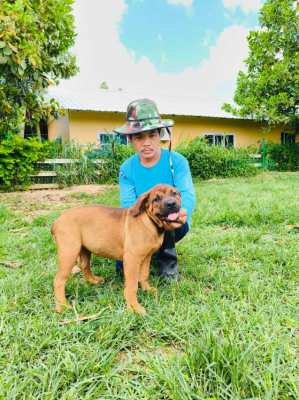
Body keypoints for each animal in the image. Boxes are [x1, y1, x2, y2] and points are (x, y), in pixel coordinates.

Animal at [51, 184, 183, 316]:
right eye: (156, 199)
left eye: (174, 193)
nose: (171, 204)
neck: (149, 222)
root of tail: (56, 221)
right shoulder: (132, 259)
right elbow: (132, 285)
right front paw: (134, 307)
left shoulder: (146, 257)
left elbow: (144, 275)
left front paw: (147, 289)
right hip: (69, 252)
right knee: (59, 280)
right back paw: (62, 306)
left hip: (84, 249)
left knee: (84, 266)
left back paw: (94, 281)